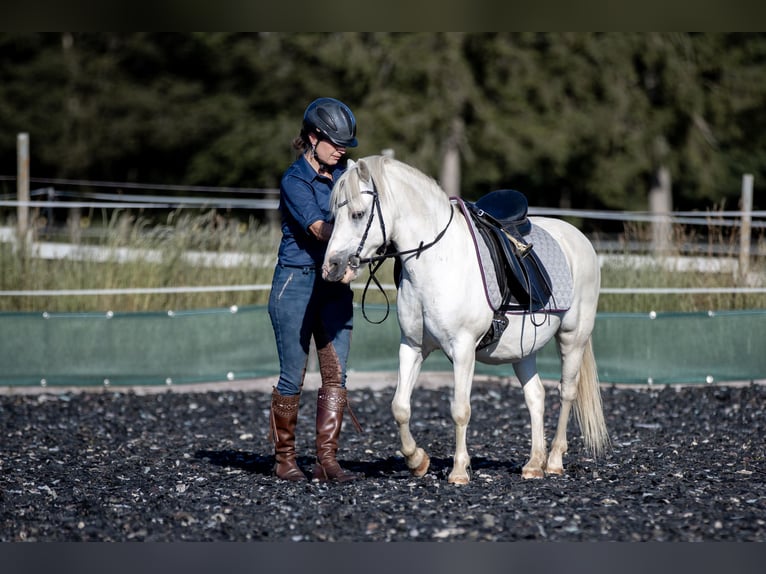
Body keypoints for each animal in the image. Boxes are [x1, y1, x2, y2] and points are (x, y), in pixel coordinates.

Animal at [324, 155, 612, 484]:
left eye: (358, 214)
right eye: (334, 215)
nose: (331, 267)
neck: (436, 260)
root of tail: (579, 239)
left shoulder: (463, 349)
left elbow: (460, 409)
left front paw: (459, 470)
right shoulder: (412, 346)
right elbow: (400, 407)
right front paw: (417, 460)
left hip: (573, 338)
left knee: (566, 393)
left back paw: (553, 460)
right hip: (523, 350)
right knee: (536, 396)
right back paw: (533, 464)